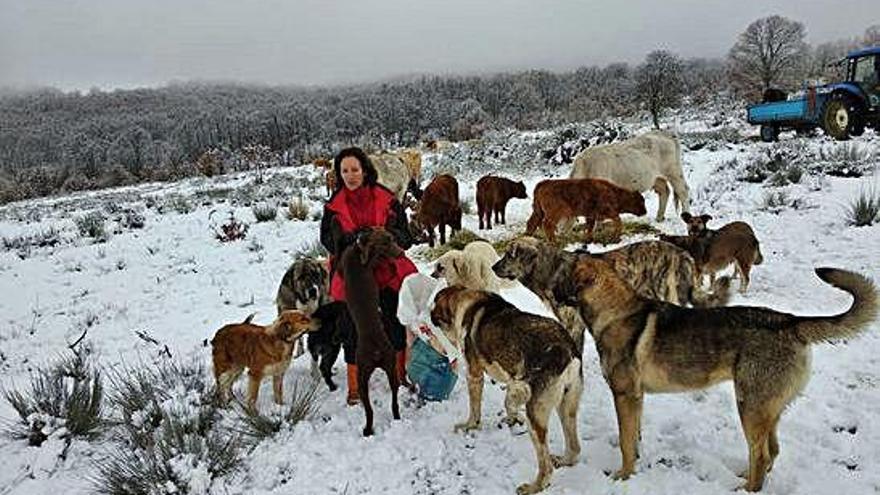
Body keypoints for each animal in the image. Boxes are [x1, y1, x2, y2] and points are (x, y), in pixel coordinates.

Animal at [432, 286, 584, 495]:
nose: (429, 315)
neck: (465, 300)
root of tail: (568, 351)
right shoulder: (515, 380)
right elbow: (509, 401)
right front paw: (512, 419)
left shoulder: (474, 375)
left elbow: (474, 410)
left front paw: (469, 426)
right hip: (566, 407)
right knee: (575, 448)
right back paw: (563, 460)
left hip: (535, 416)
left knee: (546, 467)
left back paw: (533, 486)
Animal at [564, 258, 872, 494]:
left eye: (563, 270)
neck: (614, 312)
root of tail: (790, 321)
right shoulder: (635, 399)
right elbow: (634, 439)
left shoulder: (625, 396)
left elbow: (626, 444)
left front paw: (623, 477)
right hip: (765, 411)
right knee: (771, 452)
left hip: (749, 408)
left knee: (761, 454)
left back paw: (747, 489)